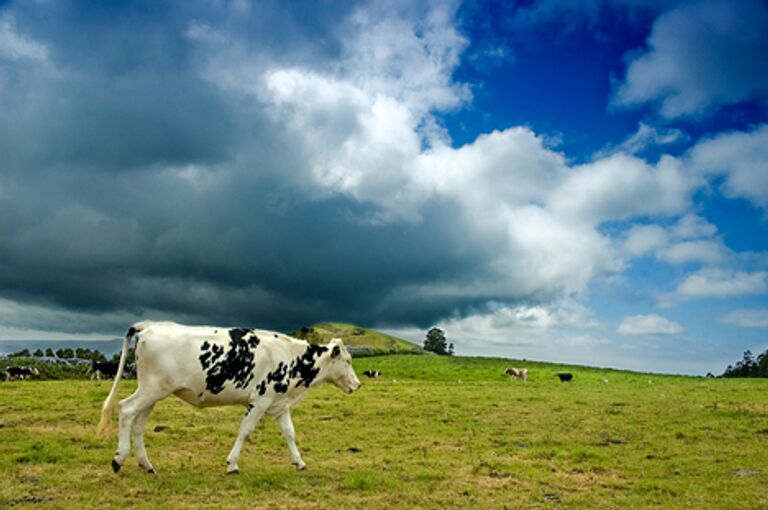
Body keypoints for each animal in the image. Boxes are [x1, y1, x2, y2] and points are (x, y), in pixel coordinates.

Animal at [97, 322, 362, 474]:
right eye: (348, 361)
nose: (357, 384)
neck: (290, 356)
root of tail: (149, 327)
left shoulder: (278, 403)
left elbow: (290, 433)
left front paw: (299, 462)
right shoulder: (260, 400)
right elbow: (245, 430)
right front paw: (232, 464)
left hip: (153, 393)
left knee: (138, 424)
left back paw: (146, 464)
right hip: (152, 389)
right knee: (126, 409)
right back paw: (118, 459)